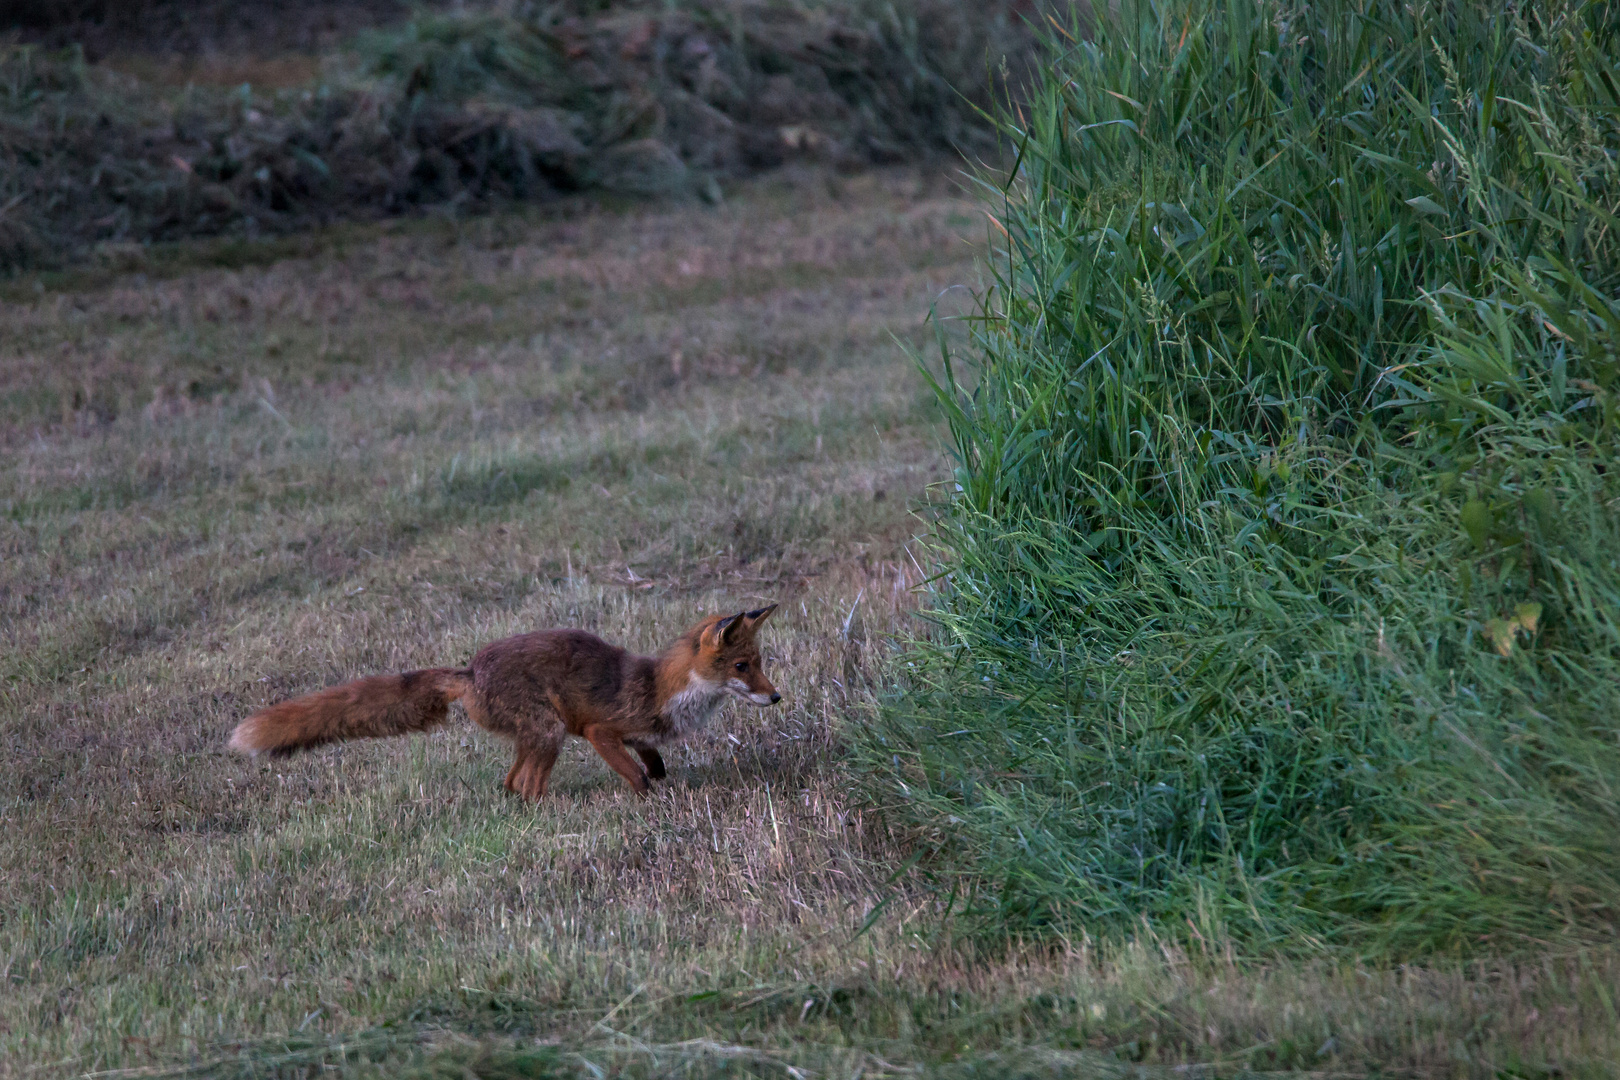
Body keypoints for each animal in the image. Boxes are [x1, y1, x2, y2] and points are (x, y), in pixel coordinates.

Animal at [230, 605, 784, 799]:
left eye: (759, 662)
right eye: (741, 667)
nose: (776, 696)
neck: (663, 689)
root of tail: (470, 670)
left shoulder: (637, 733)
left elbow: (653, 760)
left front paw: (661, 775)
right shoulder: (600, 730)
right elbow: (636, 775)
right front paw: (649, 801)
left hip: (535, 736)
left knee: (510, 782)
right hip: (550, 731)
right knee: (528, 789)